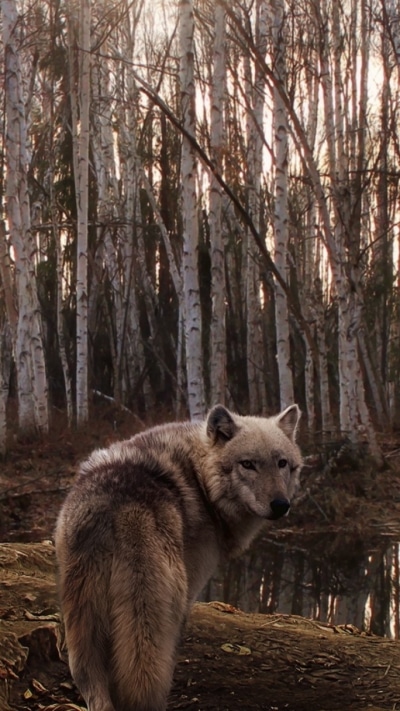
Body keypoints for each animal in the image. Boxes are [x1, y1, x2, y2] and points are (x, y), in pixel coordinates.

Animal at [55, 403, 302, 711]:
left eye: (282, 463)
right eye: (247, 464)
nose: (281, 505)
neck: (200, 480)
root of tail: (119, 508)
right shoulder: (190, 592)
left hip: (83, 626)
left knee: (94, 687)